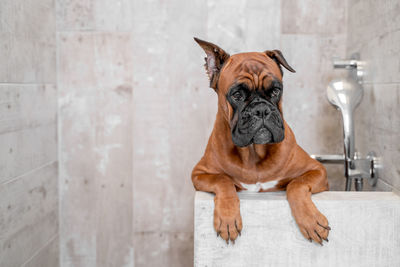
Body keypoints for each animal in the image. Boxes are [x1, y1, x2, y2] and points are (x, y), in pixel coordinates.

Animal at [192, 37, 330, 247]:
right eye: (237, 95)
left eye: (275, 91)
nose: (262, 109)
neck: (253, 152)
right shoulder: (199, 174)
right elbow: (222, 180)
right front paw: (228, 218)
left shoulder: (316, 170)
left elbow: (296, 185)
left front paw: (311, 219)